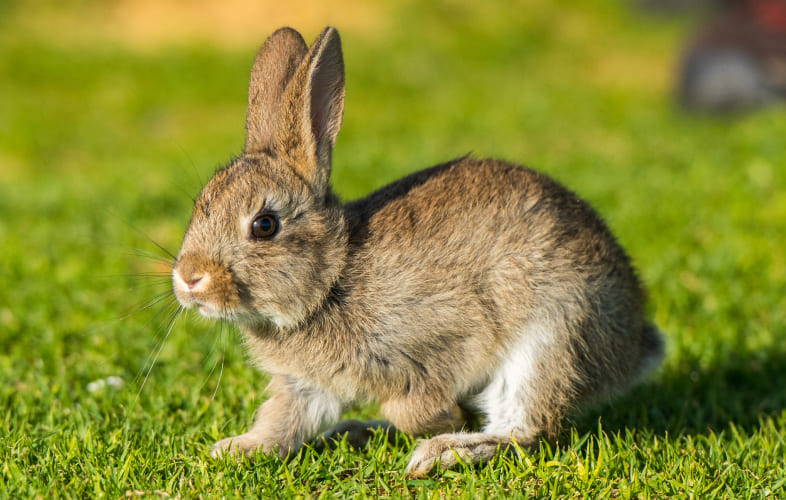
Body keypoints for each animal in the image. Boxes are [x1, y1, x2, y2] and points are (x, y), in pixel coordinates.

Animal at [171, 26, 664, 477]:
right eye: (200, 205)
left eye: (264, 225)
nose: (188, 279)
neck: (331, 281)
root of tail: (634, 347)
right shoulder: (304, 386)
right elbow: (283, 423)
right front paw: (234, 449)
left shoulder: (450, 340)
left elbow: (413, 407)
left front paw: (447, 421)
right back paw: (357, 431)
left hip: (552, 338)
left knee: (525, 429)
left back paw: (443, 451)